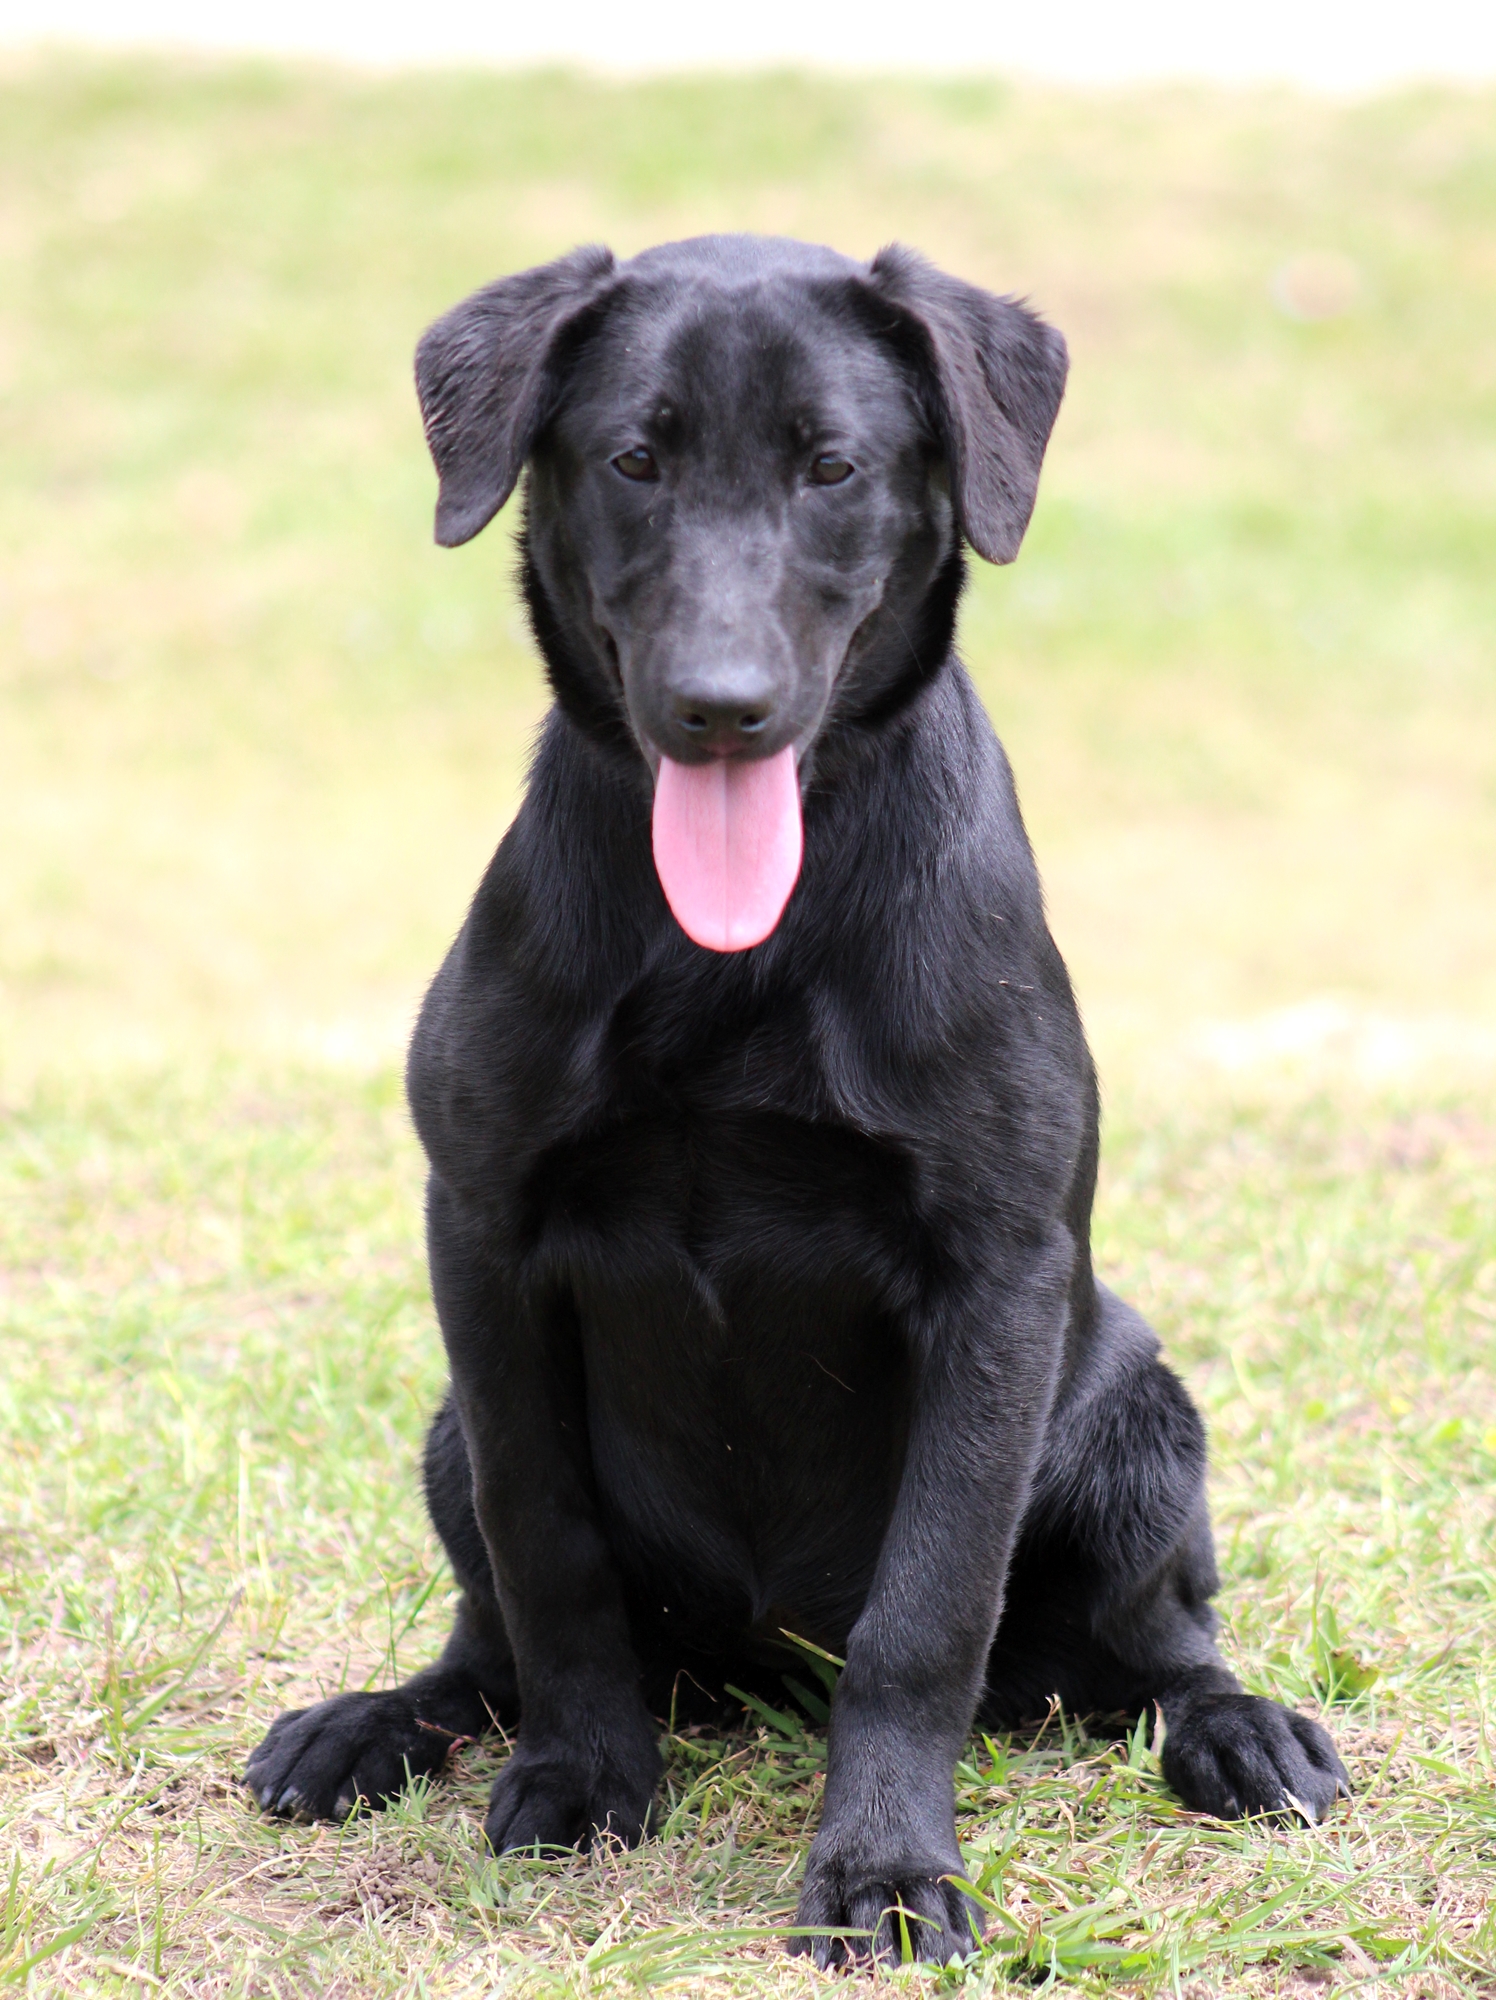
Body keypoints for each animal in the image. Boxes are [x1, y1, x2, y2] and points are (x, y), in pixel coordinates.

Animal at [245, 238, 1344, 1968]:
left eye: (833, 468)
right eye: (634, 459)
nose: (721, 706)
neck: (739, 957)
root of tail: (756, 1673)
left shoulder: (996, 1280)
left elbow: (926, 1616)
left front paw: (885, 1866)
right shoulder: (481, 1238)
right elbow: (548, 1551)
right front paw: (583, 1776)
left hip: (1137, 1422)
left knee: (1163, 1649)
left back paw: (1240, 1735)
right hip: (445, 1426)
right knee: (486, 1631)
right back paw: (377, 1725)